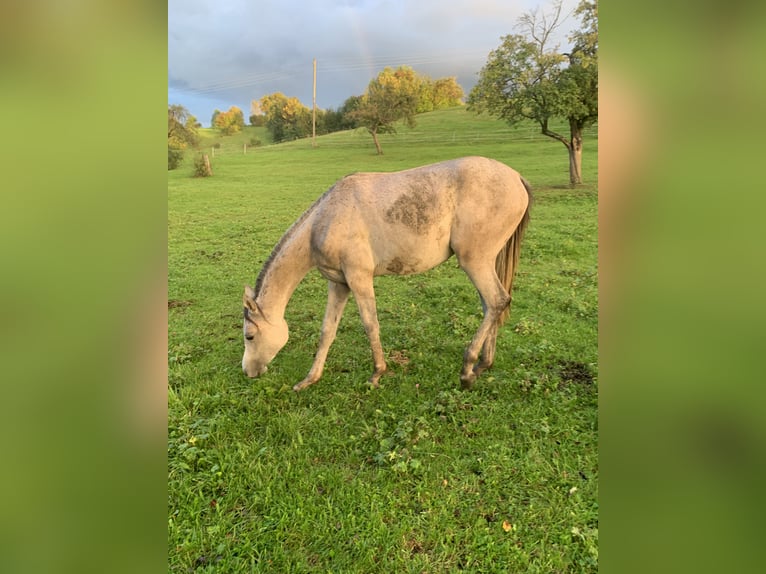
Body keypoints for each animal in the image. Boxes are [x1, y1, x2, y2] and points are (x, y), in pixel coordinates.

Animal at [243, 158, 532, 392]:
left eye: (249, 336)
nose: (247, 372)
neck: (325, 220)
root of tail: (516, 177)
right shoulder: (338, 283)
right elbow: (327, 331)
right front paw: (310, 379)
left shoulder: (359, 278)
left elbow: (370, 324)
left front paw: (377, 374)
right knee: (491, 306)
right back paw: (483, 364)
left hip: (475, 261)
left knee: (496, 301)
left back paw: (467, 370)